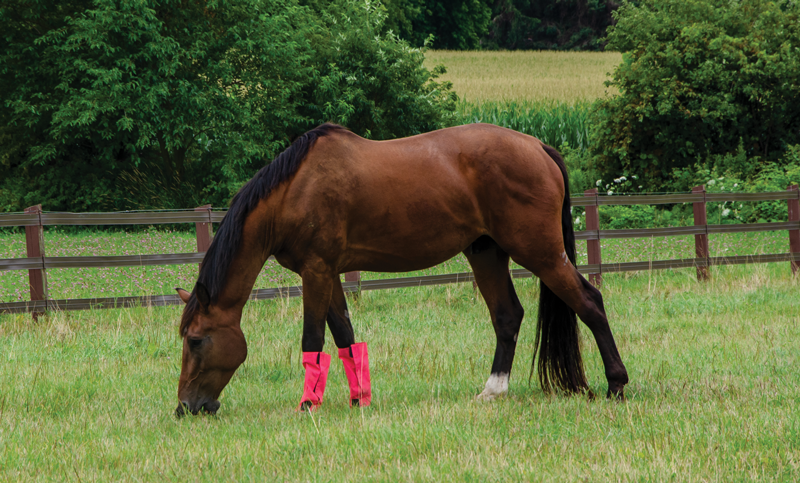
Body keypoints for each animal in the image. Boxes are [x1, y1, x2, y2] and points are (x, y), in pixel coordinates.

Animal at [174, 123, 629, 416]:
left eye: (195, 340)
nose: (186, 407)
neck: (294, 191)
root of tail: (538, 147)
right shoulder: (329, 272)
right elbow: (345, 336)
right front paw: (359, 399)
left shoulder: (315, 271)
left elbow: (313, 337)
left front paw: (308, 403)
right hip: (486, 253)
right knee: (507, 316)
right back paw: (492, 390)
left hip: (541, 253)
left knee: (590, 303)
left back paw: (617, 384)